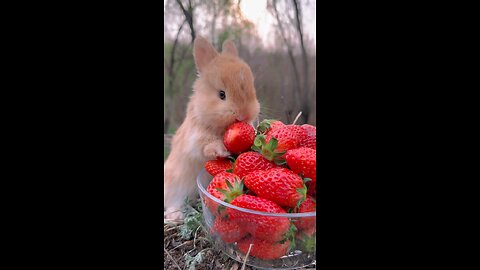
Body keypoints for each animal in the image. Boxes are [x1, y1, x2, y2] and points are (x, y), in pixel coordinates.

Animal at [164, 37, 262, 220]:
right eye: (222, 95)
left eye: (252, 89)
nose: (244, 115)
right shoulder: (196, 139)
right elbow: (207, 145)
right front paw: (221, 150)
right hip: (175, 186)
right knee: (173, 202)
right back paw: (176, 216)